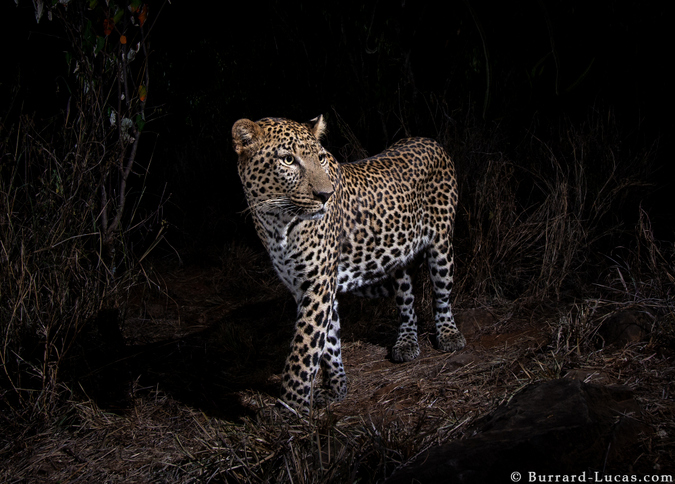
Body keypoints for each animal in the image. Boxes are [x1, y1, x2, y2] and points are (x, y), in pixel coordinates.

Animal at [232, 114, 464, 408]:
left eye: (320, 158)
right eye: (287, 160)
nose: (325, 195)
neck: (276, 223)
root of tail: (429, 140)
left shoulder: (318, 284)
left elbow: (302, 350)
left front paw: (291, 407)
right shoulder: (307, 287)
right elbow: (327, 343)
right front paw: (335, 388)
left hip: (441, 245)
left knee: (442, 295)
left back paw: (449, 335)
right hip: (398, 256)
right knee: (406, 300)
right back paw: (406, 342)